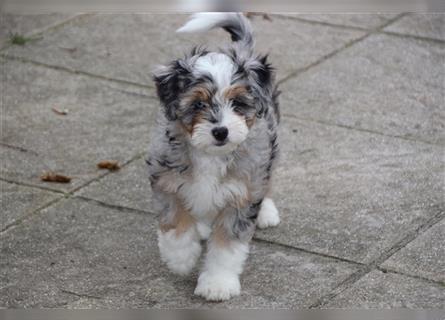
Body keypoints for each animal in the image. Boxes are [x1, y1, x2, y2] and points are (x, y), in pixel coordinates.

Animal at [147, 12, 280, 302]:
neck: (210, 155)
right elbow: (175, 222)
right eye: (198, 104)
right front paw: (181, 259)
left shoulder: (239, 196)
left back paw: (266, 211)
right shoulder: (166, 180)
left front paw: (217, 284)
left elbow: (226, 247)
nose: (221, 131)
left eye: (238, 103)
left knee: (268, 176)